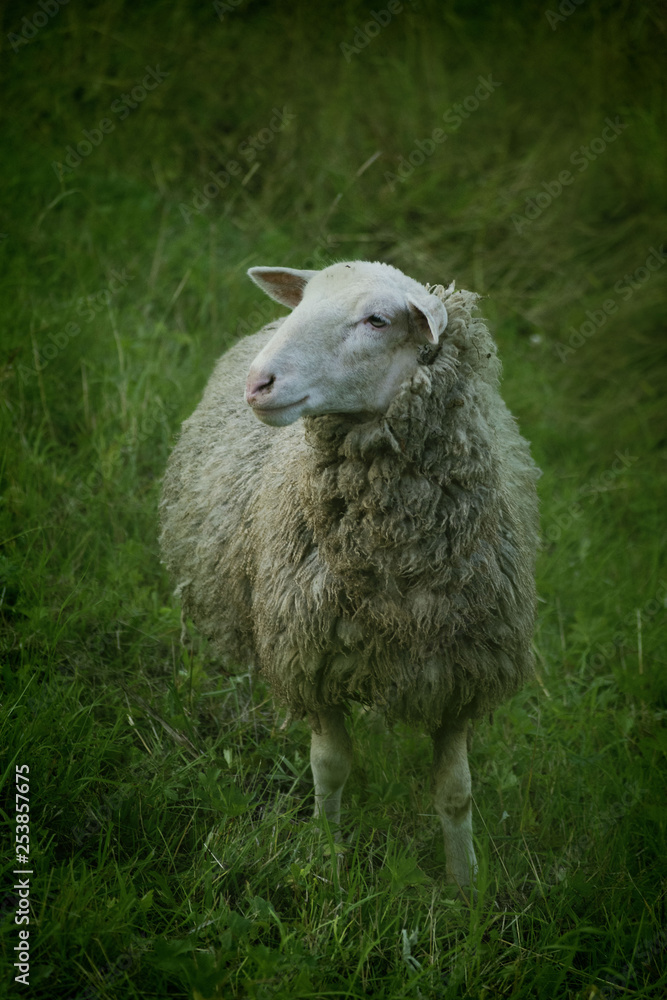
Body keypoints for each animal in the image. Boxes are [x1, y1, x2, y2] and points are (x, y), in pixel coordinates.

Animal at [159, 260, 540, 890]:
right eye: (304, 300)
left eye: (377, 320)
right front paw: (326, 860)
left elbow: (456, 792)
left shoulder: (461, 671)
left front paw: (465, 888)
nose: (257, 383)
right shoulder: (312, 658)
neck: (395, 566)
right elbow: (330, 768)